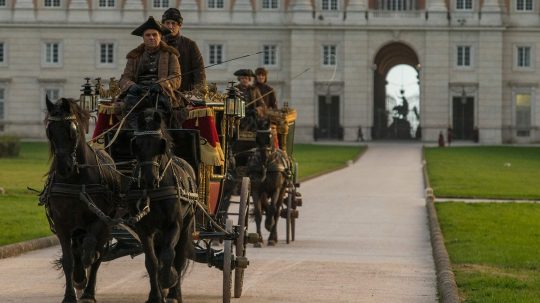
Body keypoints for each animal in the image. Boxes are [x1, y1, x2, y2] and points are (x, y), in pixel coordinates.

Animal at [43, 98, 121, 303]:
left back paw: (88, 292)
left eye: (72, 130)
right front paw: (71, 292)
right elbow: (68, 259)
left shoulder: (100, 219)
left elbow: (91, 249)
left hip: (106, 226)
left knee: (97, 253)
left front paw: (84, 275)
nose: (64, 168)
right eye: (50, 131)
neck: (76, 181)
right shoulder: (62, 224)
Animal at [130, 109, 197, 303]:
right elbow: (151, 261)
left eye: (159, 144)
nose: (148, 180)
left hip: (186, 225)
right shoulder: (144, 229)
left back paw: (175, 293)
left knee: (179, 258)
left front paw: (168, 279)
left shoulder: (174, 225)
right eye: (137, 145)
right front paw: (155, 295)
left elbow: (169, 255)